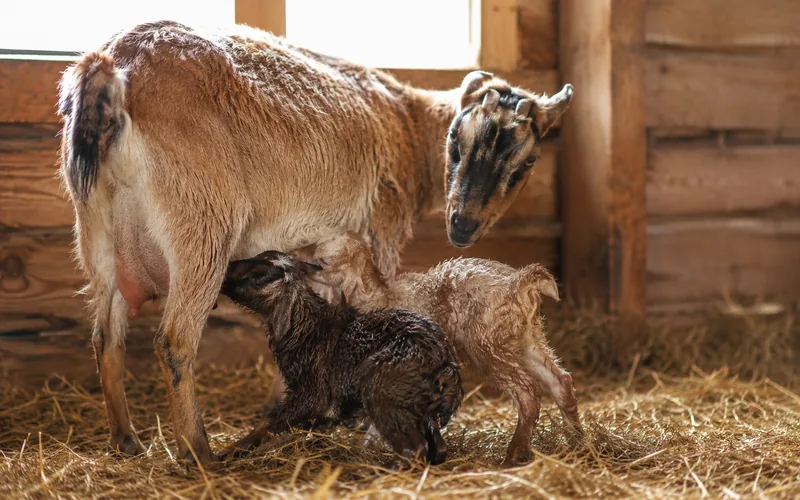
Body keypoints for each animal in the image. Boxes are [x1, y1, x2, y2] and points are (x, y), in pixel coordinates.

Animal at [217, 251, 463, 464]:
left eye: (258, 276)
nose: (227, 267)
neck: (306, 327)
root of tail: (444, 363)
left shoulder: (311, 392)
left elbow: (270, 421)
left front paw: (228, 452)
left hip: (382, 391)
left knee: (415, 447)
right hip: (423, 406)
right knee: (438, 447)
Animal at [293, 233, 582, 466]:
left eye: (323, 260)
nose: (295, 255)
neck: (381, 297)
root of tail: (519, 283)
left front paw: (374, 445)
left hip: (487, 343)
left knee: (528, 392)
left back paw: (512, 456)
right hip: (526, 338)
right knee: (561, 381)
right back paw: (577, 442)